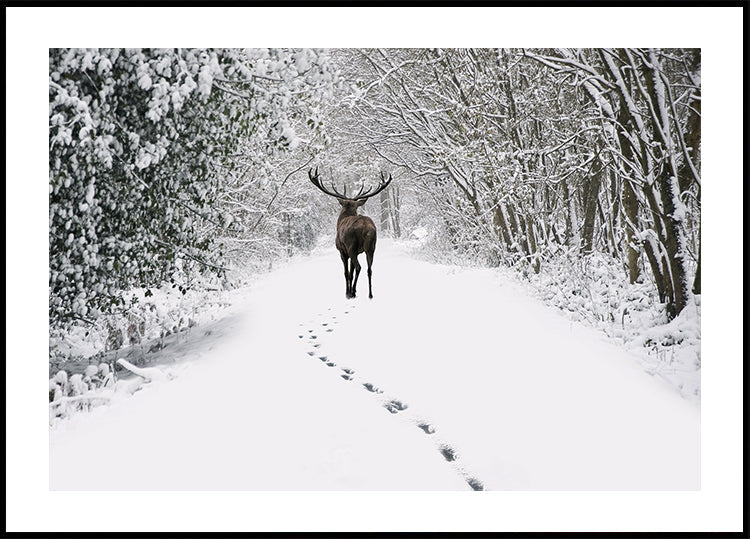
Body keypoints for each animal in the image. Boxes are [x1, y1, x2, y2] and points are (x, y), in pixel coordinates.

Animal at [310, 168, 394, 300]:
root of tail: (366, 227)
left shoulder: (342, 251)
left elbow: (347, 272)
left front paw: (347, 292)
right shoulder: (357, 251)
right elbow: (351, 271)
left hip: (351, 246)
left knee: (359, 267)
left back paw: (352, 292)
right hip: (371, 247)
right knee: (369, 269)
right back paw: (370, 294)